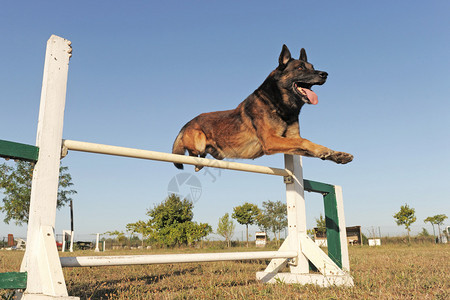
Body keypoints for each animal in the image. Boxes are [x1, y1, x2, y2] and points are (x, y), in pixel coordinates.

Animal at [172, 45, 352, 171]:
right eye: (300, 68)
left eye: (313, 67)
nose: (325, 74)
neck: (278, 104)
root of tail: (186, 124)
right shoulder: (271, 140)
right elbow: (304, 140)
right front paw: (327, 152)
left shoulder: (289, 141)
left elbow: (306, 144)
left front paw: (336, 155)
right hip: (198, 142)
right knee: (194, 156)